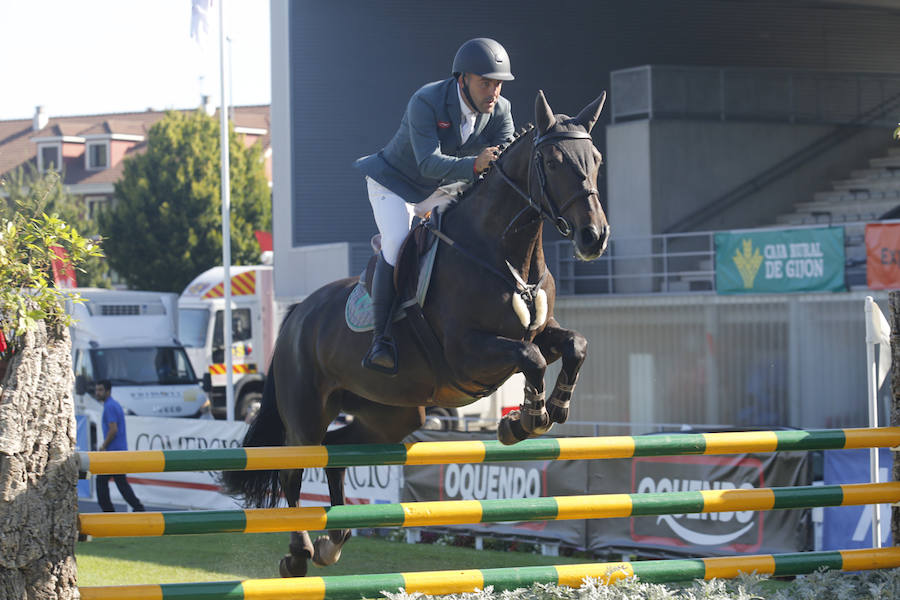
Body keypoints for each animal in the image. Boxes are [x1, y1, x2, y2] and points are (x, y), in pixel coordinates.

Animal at [221, 91, 608, 580]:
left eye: (596, 160)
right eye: (555, 162)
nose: (594, 237)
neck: (503, 254)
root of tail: (295, 316)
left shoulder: (539, 332)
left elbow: (575, 344)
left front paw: (550, 409)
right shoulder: (467, 352)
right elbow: (531, 359)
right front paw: (525, 420)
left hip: (393, 414)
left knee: (337, 451)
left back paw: (333, 540)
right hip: (307, 412)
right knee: (295, 470)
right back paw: (299, 553)